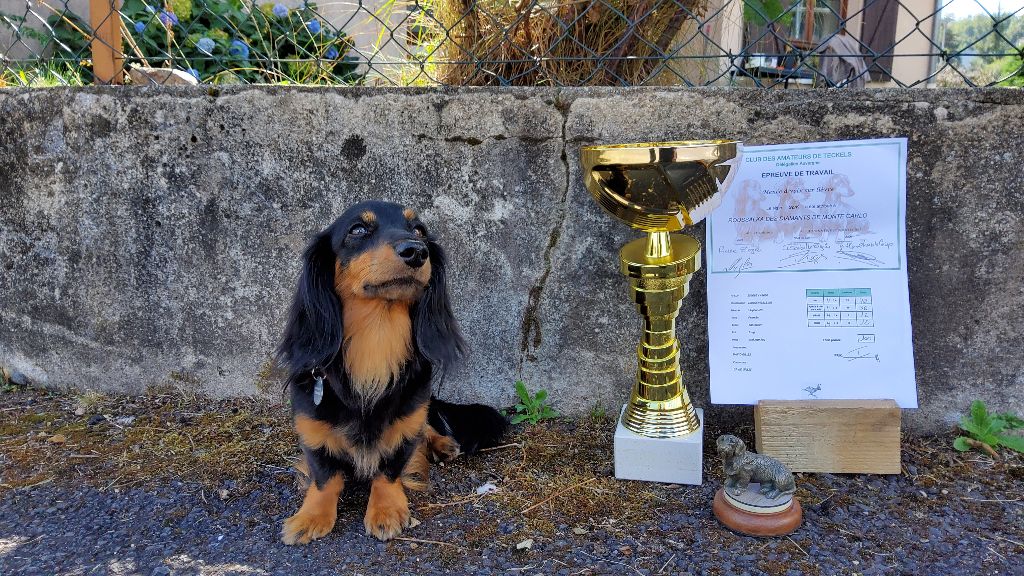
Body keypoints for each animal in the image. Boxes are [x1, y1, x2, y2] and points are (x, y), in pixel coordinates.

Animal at [276, 199, 507, 541]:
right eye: (358, 229)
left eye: (420, 230)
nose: (416, 251)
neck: (377, 340)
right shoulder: (312, 426)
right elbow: (325, 475)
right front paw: (311, 516)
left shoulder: (406, 425)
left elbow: (390, 468)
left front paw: (385, 510)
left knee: (428, 426)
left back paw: (443, 444)